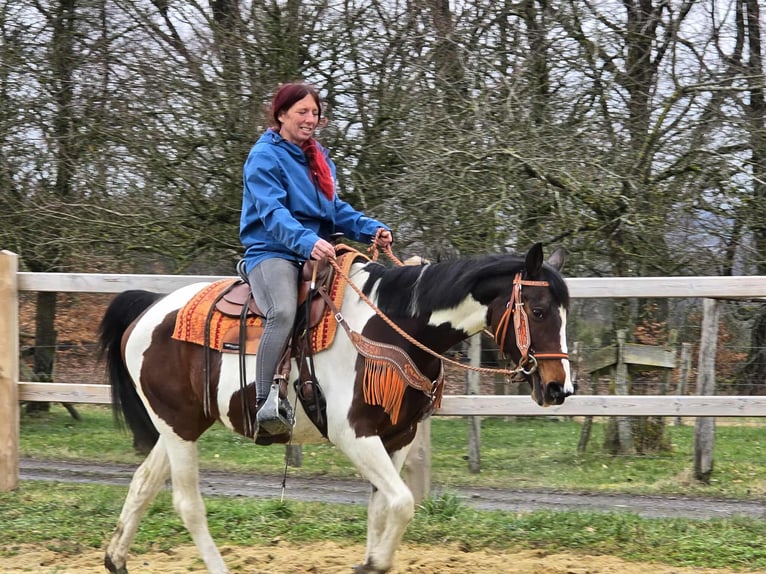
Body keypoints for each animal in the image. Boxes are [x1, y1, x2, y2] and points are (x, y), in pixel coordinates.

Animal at [98, 242, 572, 574]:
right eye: (538, 310)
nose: (559, 388)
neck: (394, 328)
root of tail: (147, 309)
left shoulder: (397, 437)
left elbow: (383, 508)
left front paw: (372, 559)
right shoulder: (355, 434)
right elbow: (402, 503)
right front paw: (372, 563)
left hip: (182, 426)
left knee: (143, 483)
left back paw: (116, 558)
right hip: (178, 427)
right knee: (187, 503)